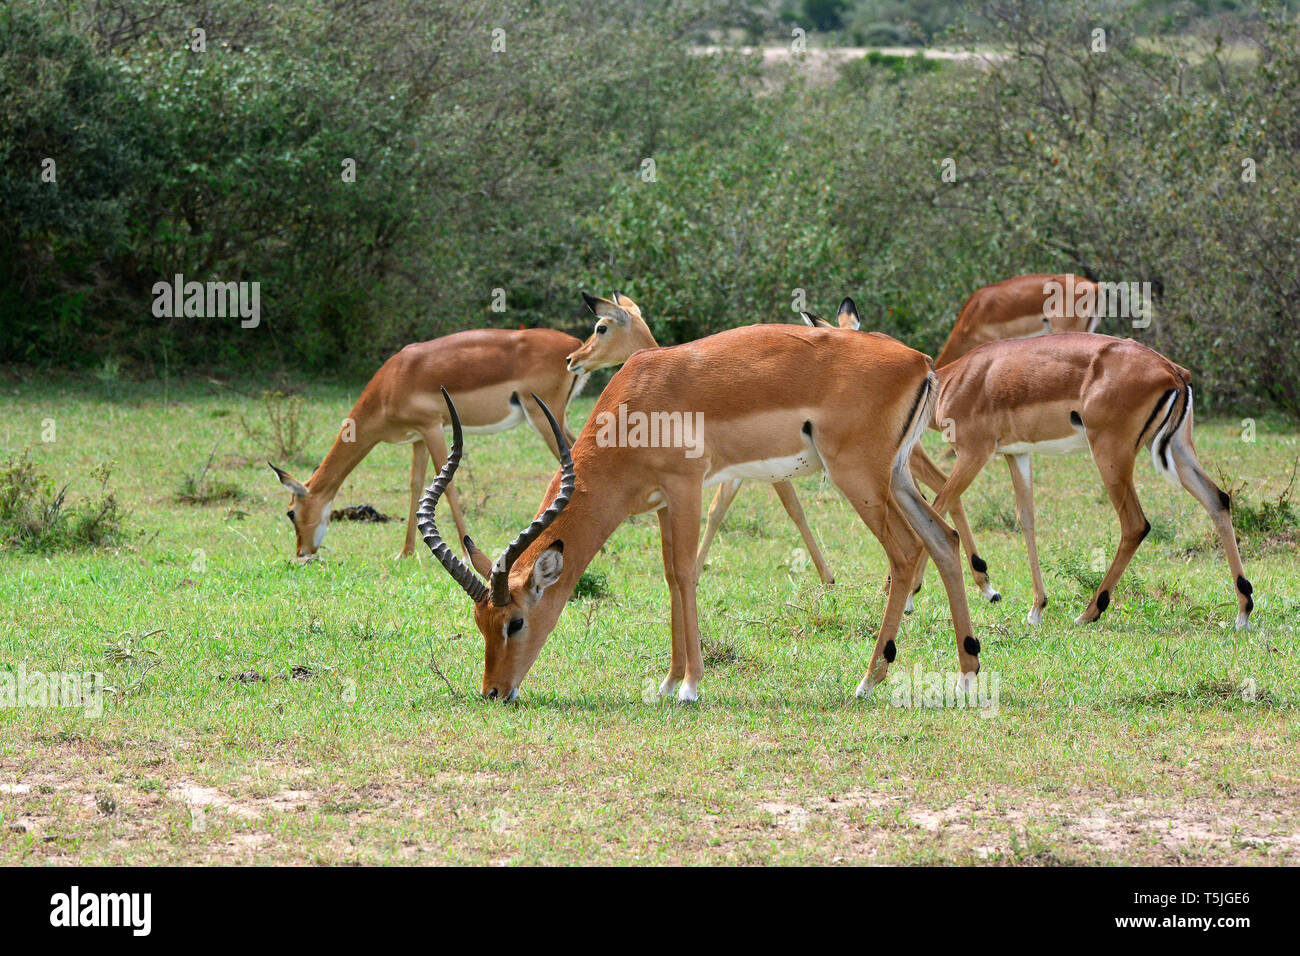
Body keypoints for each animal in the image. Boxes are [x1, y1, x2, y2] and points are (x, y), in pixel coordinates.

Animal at [269, 328, 586, 562]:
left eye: (291, 512)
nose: (302, 552)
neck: (393, 382)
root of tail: (574, 346)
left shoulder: (433, 428)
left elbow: (448, 484)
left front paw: (467, 554)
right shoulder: (418, 437)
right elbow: (416, 484)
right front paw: (405, 552)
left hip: (543, 418)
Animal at [418, 324, 983, 702]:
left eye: (515, 622)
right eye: (479, 621)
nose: (493, 692)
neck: (637, 402)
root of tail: (919, 362)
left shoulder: (686, 488)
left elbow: (688, 574)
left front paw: (690, 686)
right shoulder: (663, 503)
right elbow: (670, 577)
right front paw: (667, 682)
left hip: (859, 478)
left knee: (905, 553)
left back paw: (868, 680)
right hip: (897, 478)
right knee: (943, 539)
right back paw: (966, 674)